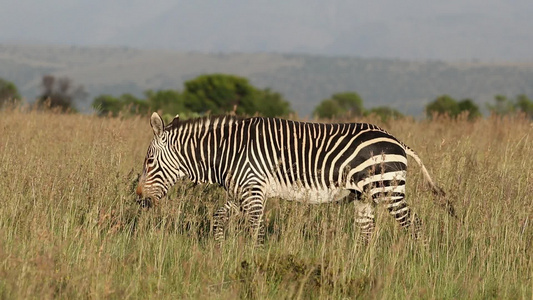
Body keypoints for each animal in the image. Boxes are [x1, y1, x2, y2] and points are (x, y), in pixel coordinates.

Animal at [136, 112, 454, 244]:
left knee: (416, 226)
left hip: (387, 189)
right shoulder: (242, 191)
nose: (138, 199)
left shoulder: (253, 191)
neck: (228, 151)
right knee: (366, 234)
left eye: (149, 161)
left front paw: (255, 265)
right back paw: (358, 267)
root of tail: (398, 141)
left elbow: (255, 230)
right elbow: (218, 218)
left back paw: (420, 261)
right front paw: (219, 251)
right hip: (364, 196)